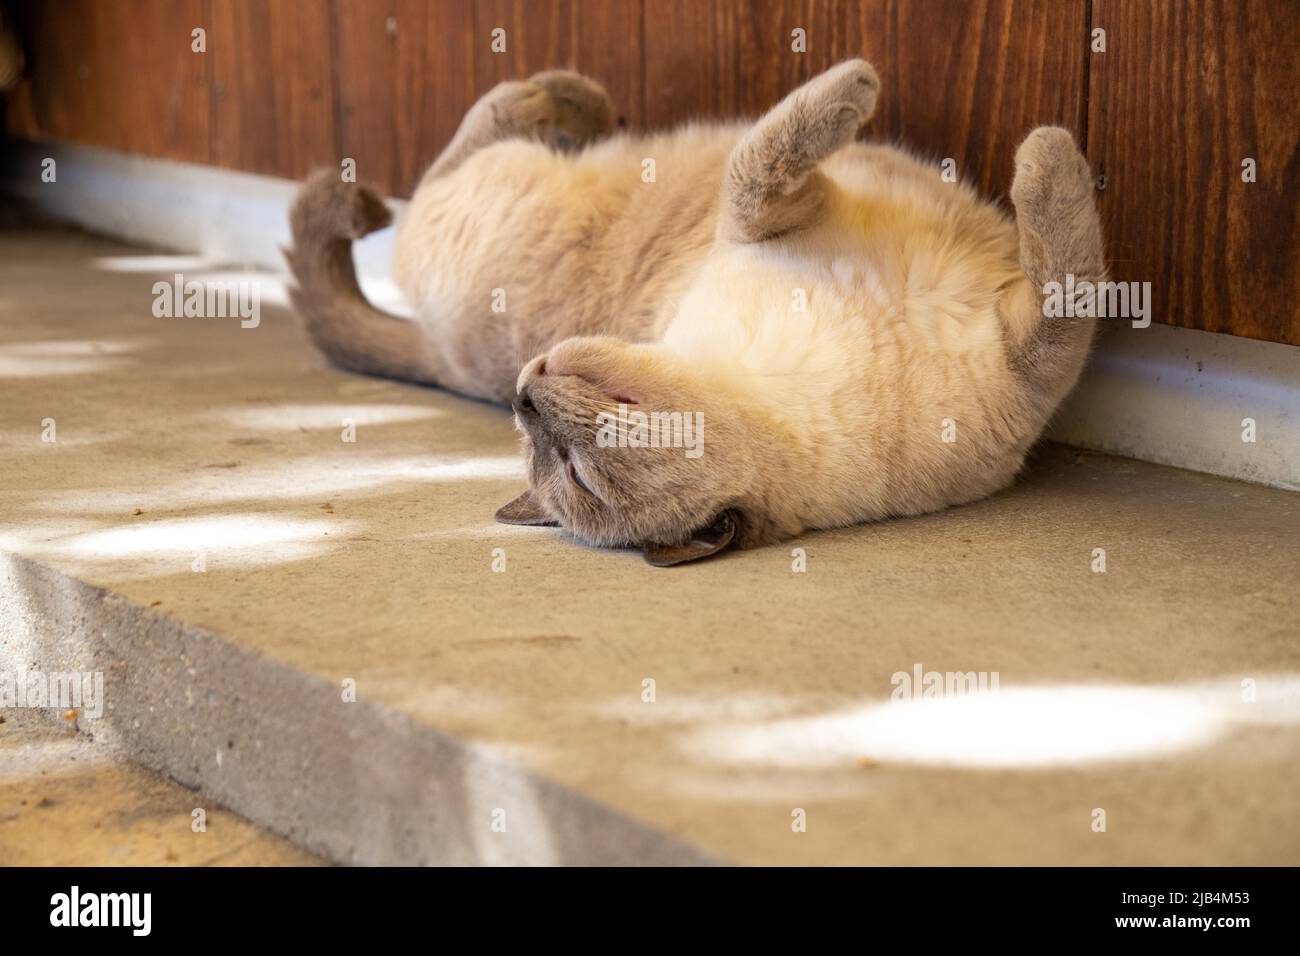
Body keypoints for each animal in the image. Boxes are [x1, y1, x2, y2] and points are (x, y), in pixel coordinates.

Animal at [289, 59, 1102, 564]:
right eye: (574, 472)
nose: (525, 399)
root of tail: (447, 362)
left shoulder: (1022, 357)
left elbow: (1064, 281)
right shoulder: (754, 216)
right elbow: (770, 152)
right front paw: (1044, 147)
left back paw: (578, 101)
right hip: (484, 198)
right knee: (458, 147)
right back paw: (566, 95)